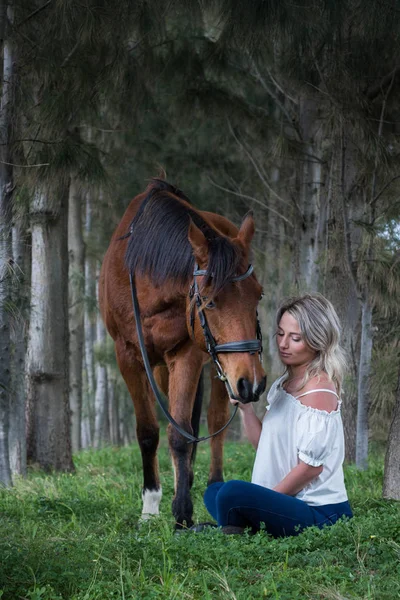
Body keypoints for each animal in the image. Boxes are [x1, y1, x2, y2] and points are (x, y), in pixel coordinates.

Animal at [98, 176, 266, 528]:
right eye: (210, 301)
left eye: (258, 295)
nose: (253, 382)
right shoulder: (128, 358)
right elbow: (149, 432)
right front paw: (150, 507)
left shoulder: (186, 354)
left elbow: (182, 433)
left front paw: (182, 514)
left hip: (219, 369)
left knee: (214, 421)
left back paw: (213, 486)